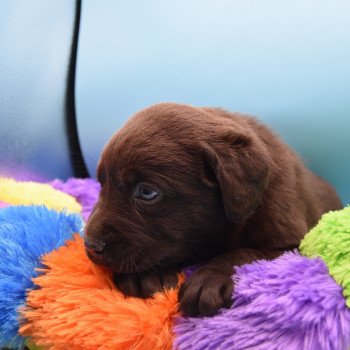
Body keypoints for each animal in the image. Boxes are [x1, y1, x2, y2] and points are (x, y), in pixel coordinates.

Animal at [85, 103, 342, 318]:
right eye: (102, 184)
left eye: (146, 192)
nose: (90, 245)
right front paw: (142, 275)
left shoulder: (290, 243)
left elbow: (243, 252)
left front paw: (208, 280)